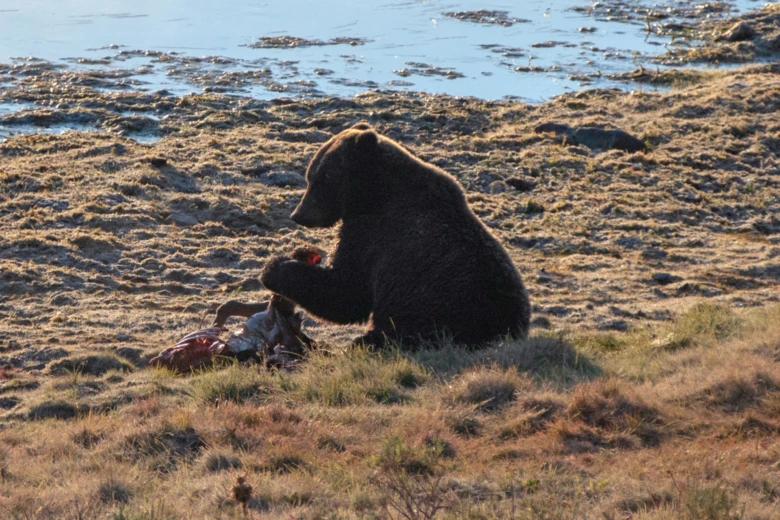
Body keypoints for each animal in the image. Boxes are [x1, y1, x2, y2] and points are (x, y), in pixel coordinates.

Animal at [260, 122, 531, 348]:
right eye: (311, 175)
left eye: (320, 178)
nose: (298, 214)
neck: (372, 192)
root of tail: (503, 328)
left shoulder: (373, 234)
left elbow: (347, 291)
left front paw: (275, 268)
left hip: (434, 314)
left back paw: (364, 341)